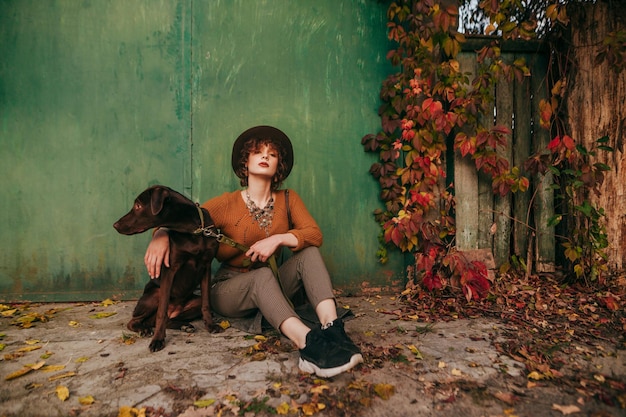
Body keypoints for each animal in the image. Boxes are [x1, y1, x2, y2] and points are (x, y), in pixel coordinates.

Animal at [113, 185, 223, 352]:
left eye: (138, 205)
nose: (115, 225)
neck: (192, 230)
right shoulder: (169, 270)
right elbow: (161, 312)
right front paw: (158, 339)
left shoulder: (206, 266)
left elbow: (206, 303)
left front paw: (210, 325)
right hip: (155, 294)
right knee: (136, 320)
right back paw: (144, 329)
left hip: (192, 303)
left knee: (171, 317)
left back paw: (184, 325)